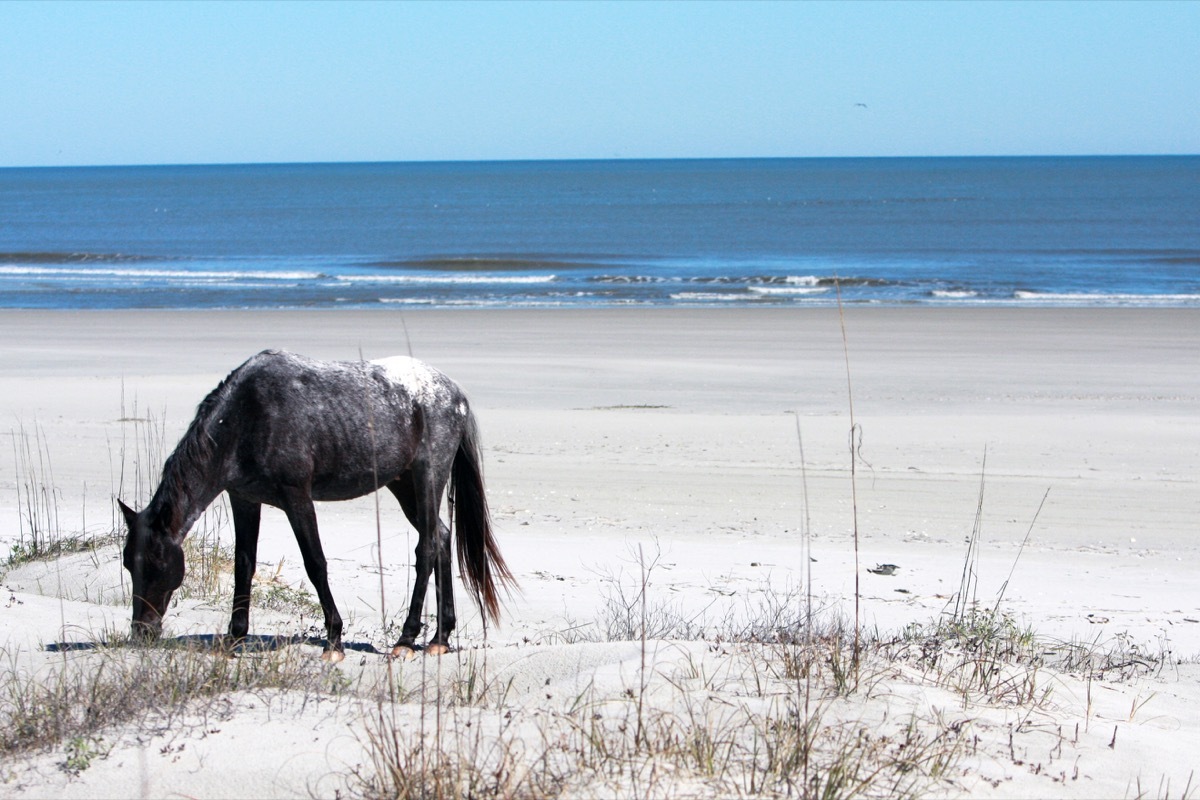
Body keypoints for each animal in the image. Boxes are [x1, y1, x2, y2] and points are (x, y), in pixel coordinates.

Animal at [118, 352, 516, 662]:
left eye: (155, 564)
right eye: (127, 564)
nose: (142, 632)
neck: (247, 416)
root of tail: (454, 392)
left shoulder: (297, 498)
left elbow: (315, 564)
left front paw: (334, 641)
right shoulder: (244, 499)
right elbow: (243, 566)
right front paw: (234, 638)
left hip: (427, 477)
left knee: (428, 549)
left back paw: (406, 639)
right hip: (404, 486)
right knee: (442, 540)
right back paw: (440, 638)